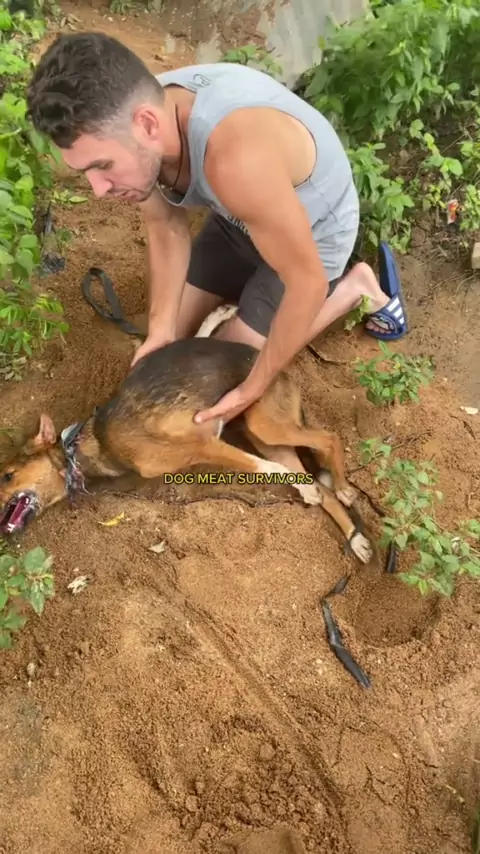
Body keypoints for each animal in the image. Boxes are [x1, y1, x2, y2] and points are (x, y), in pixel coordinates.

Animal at [0, 307, 373, 564]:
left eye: (7, 475)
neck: (88, 447)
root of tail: (278, 370)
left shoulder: (203, 443)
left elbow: (261, 468)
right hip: (267, 437)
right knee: (320, 486)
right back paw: (355, 537)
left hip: (266, 425)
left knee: (329, 440)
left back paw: (344, 489)